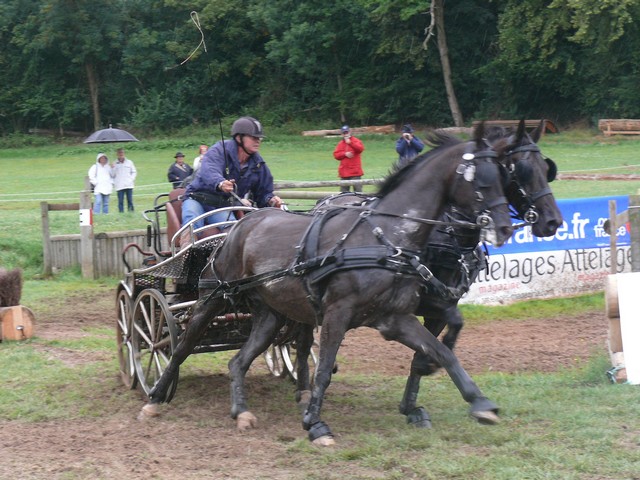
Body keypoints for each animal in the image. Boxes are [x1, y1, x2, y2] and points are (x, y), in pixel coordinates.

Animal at [144, 129, 516, 444]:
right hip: (214, 297)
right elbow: (324, 370)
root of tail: (241, 223)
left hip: (270, 314)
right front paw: (315, 423)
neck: (385, 238)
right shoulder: (338, 313)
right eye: (484, 180)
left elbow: (441, 352)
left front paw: (479, 402)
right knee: (182, 345)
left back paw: (241, 411)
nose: (504, 228)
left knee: (239, 360)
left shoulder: (395, 319)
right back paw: (155, 396)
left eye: (504, 177)